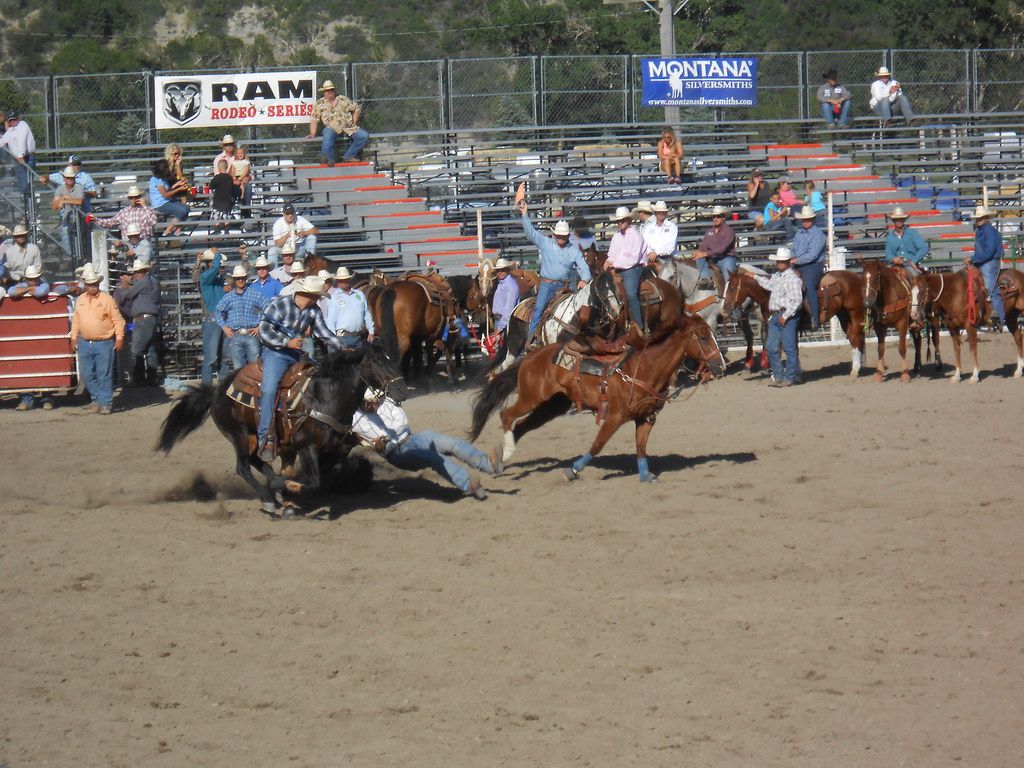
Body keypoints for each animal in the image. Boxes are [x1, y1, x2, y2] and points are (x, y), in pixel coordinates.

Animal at [155, 344, 403, 518]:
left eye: (393, 359)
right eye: (379, 362)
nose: (401, 390)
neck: (324, 398)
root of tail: (218, 389)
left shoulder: (333, 449)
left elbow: (320, 474)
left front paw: (288, 491)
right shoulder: (306, 446)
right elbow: (313, 480)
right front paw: (288, 490)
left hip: (255, 438)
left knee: (257, 462)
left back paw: (276, 492)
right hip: (238, 435)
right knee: (243, 468)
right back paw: (269, 498)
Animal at [468, 313, 724, 483]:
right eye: (703, 337)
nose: (719, 366)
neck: (644, 369)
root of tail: (531, 357)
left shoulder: (647, 418)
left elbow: (641, 448)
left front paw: (645, 475)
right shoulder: (614, 416)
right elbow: (598, 445)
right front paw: (572, 471)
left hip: (552, 406)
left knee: (521, 426)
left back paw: (500, 459)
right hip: (532, 397)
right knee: (507, 415)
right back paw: (507, 453)